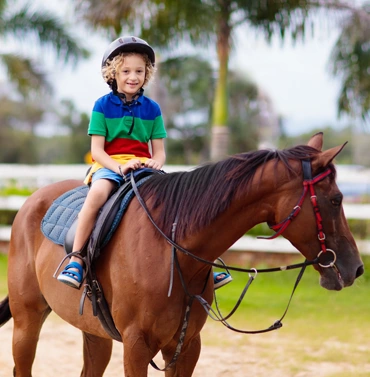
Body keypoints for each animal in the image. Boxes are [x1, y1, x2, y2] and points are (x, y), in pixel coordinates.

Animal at [0, 132, 364, 374]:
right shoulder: (136, 347)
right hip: (27, 321)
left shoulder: (186, 347)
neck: (174, 253)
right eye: (336, 199)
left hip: (94, 333)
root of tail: (31, 201)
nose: (356, 268)